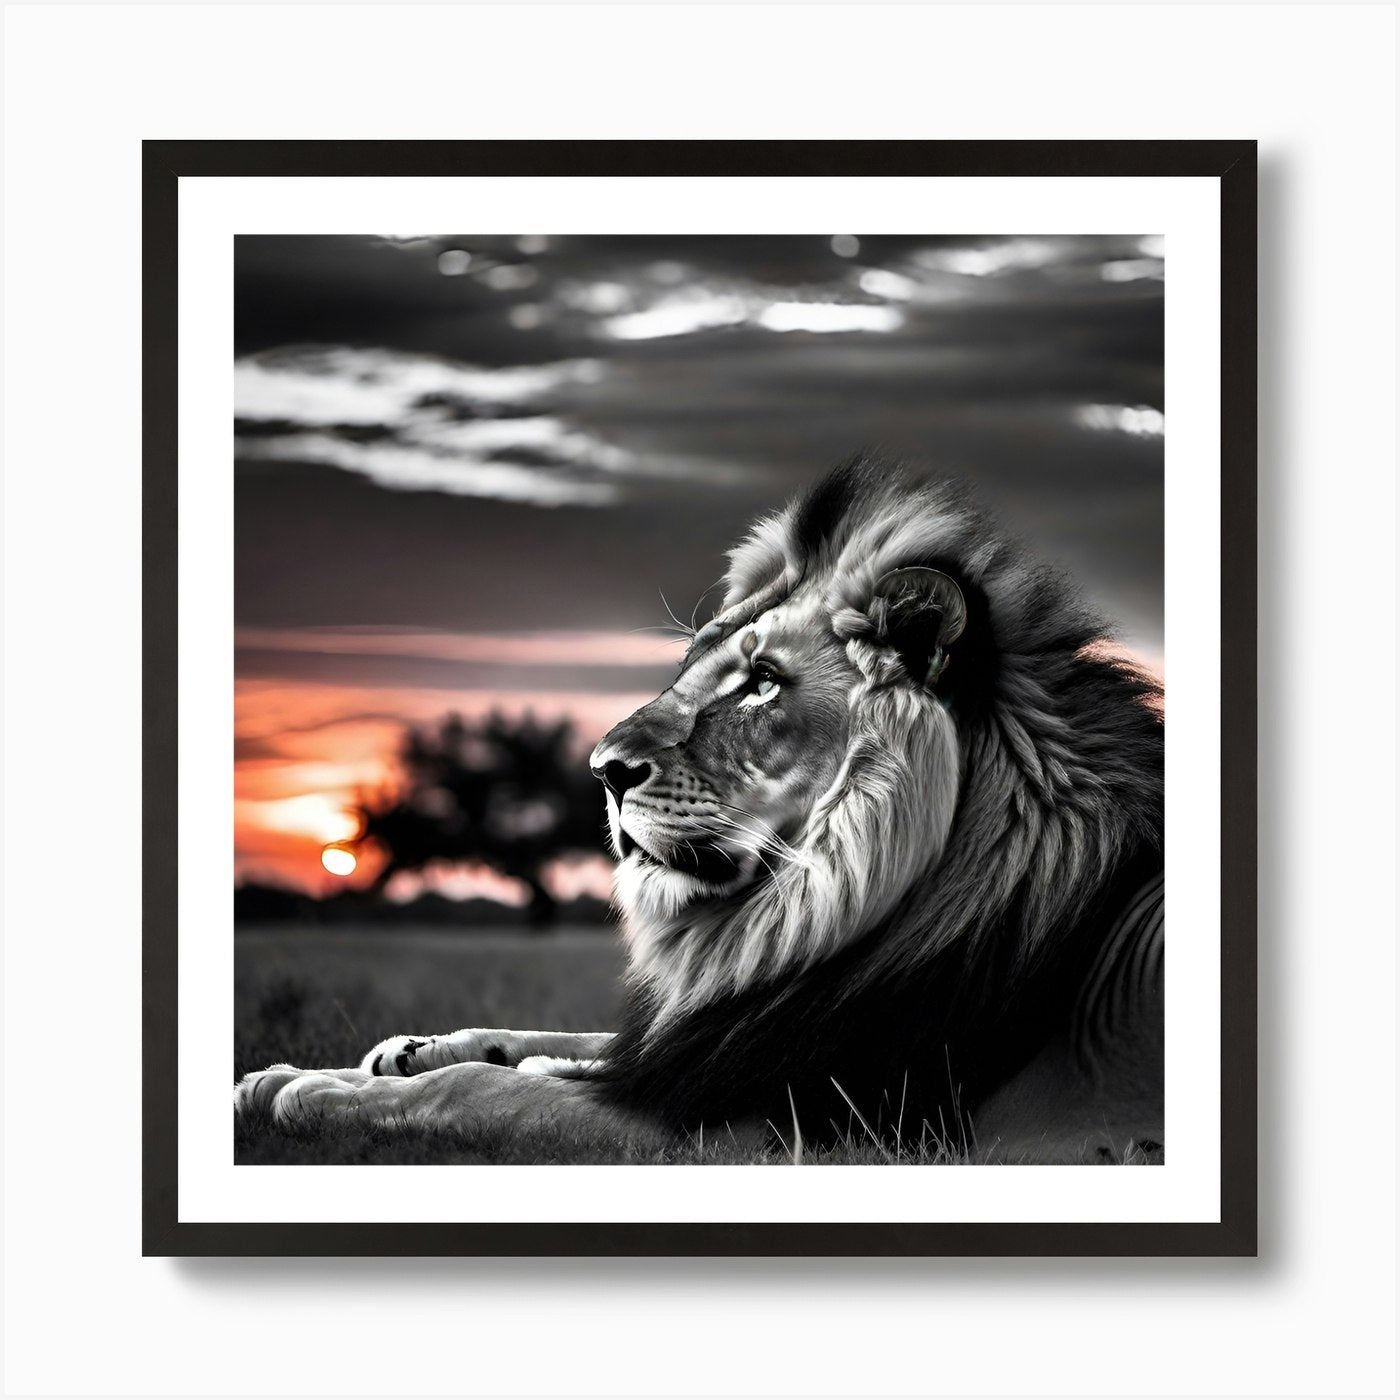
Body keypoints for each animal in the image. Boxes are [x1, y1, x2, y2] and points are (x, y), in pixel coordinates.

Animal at [235, 457, 1165, 1162]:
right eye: (694, 667)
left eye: (762, 684)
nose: (603, 770)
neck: (805, 910)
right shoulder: (698, 1047)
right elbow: (552, 1042)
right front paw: (389, 1053)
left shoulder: (756, 1124)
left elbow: (475, 1090)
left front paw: (306, 1087)